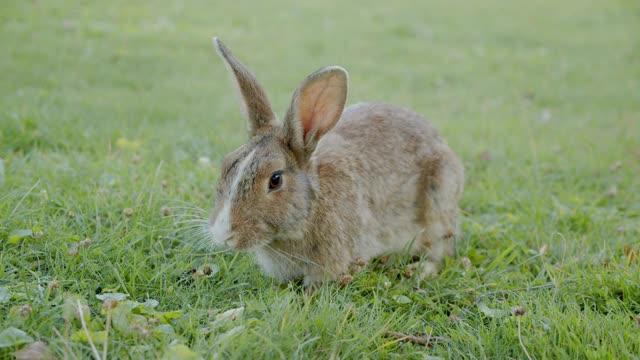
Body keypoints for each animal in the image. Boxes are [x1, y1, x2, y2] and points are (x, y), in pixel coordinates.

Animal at [208, 38, 462, 286]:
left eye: (275, 179)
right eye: (226, 165)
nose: (222, 235)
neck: (310, 209)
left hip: (438, 205)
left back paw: (420, 271)